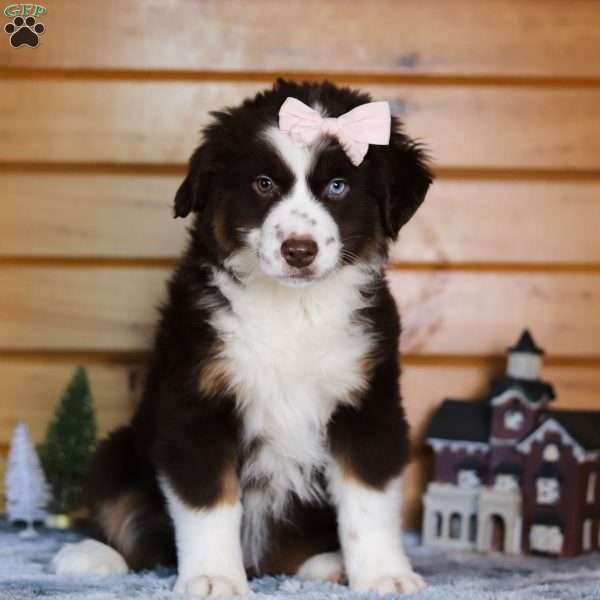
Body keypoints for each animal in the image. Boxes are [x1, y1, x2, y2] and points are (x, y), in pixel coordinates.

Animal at [51, 78, 432, 596]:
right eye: (263, 183)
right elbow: (209, 504)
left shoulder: (368, 403)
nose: (298, 250)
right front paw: (213, 578)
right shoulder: (197, 403)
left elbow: (368, 499)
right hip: (116, 451)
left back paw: (328, 564)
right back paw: (89, 556)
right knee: (127, 518)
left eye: (338, 186)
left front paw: (383, 575)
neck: (293, 311)